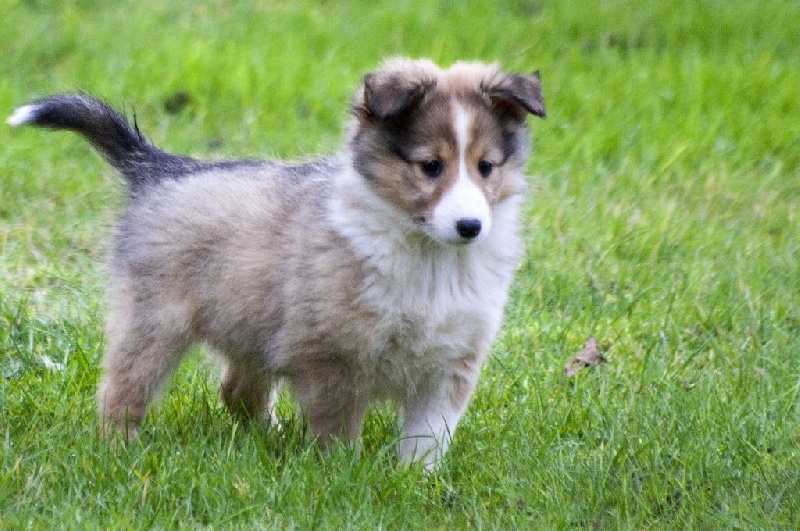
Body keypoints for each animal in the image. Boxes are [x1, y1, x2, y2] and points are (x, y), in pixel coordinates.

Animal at [7, 56, 544, 468]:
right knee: (120, 392)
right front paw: (342, 477)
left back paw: (270, 434)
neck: (430, 259)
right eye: (430, 166)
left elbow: (428, 436)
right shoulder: (334, 357)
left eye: (486, 167)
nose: (470, 227)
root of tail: (158, 167)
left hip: (254, 327)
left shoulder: (452, 362)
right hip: (153, 320)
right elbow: (336, 431)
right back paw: (118, 451)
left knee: (235, 392)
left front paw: (416, 482)